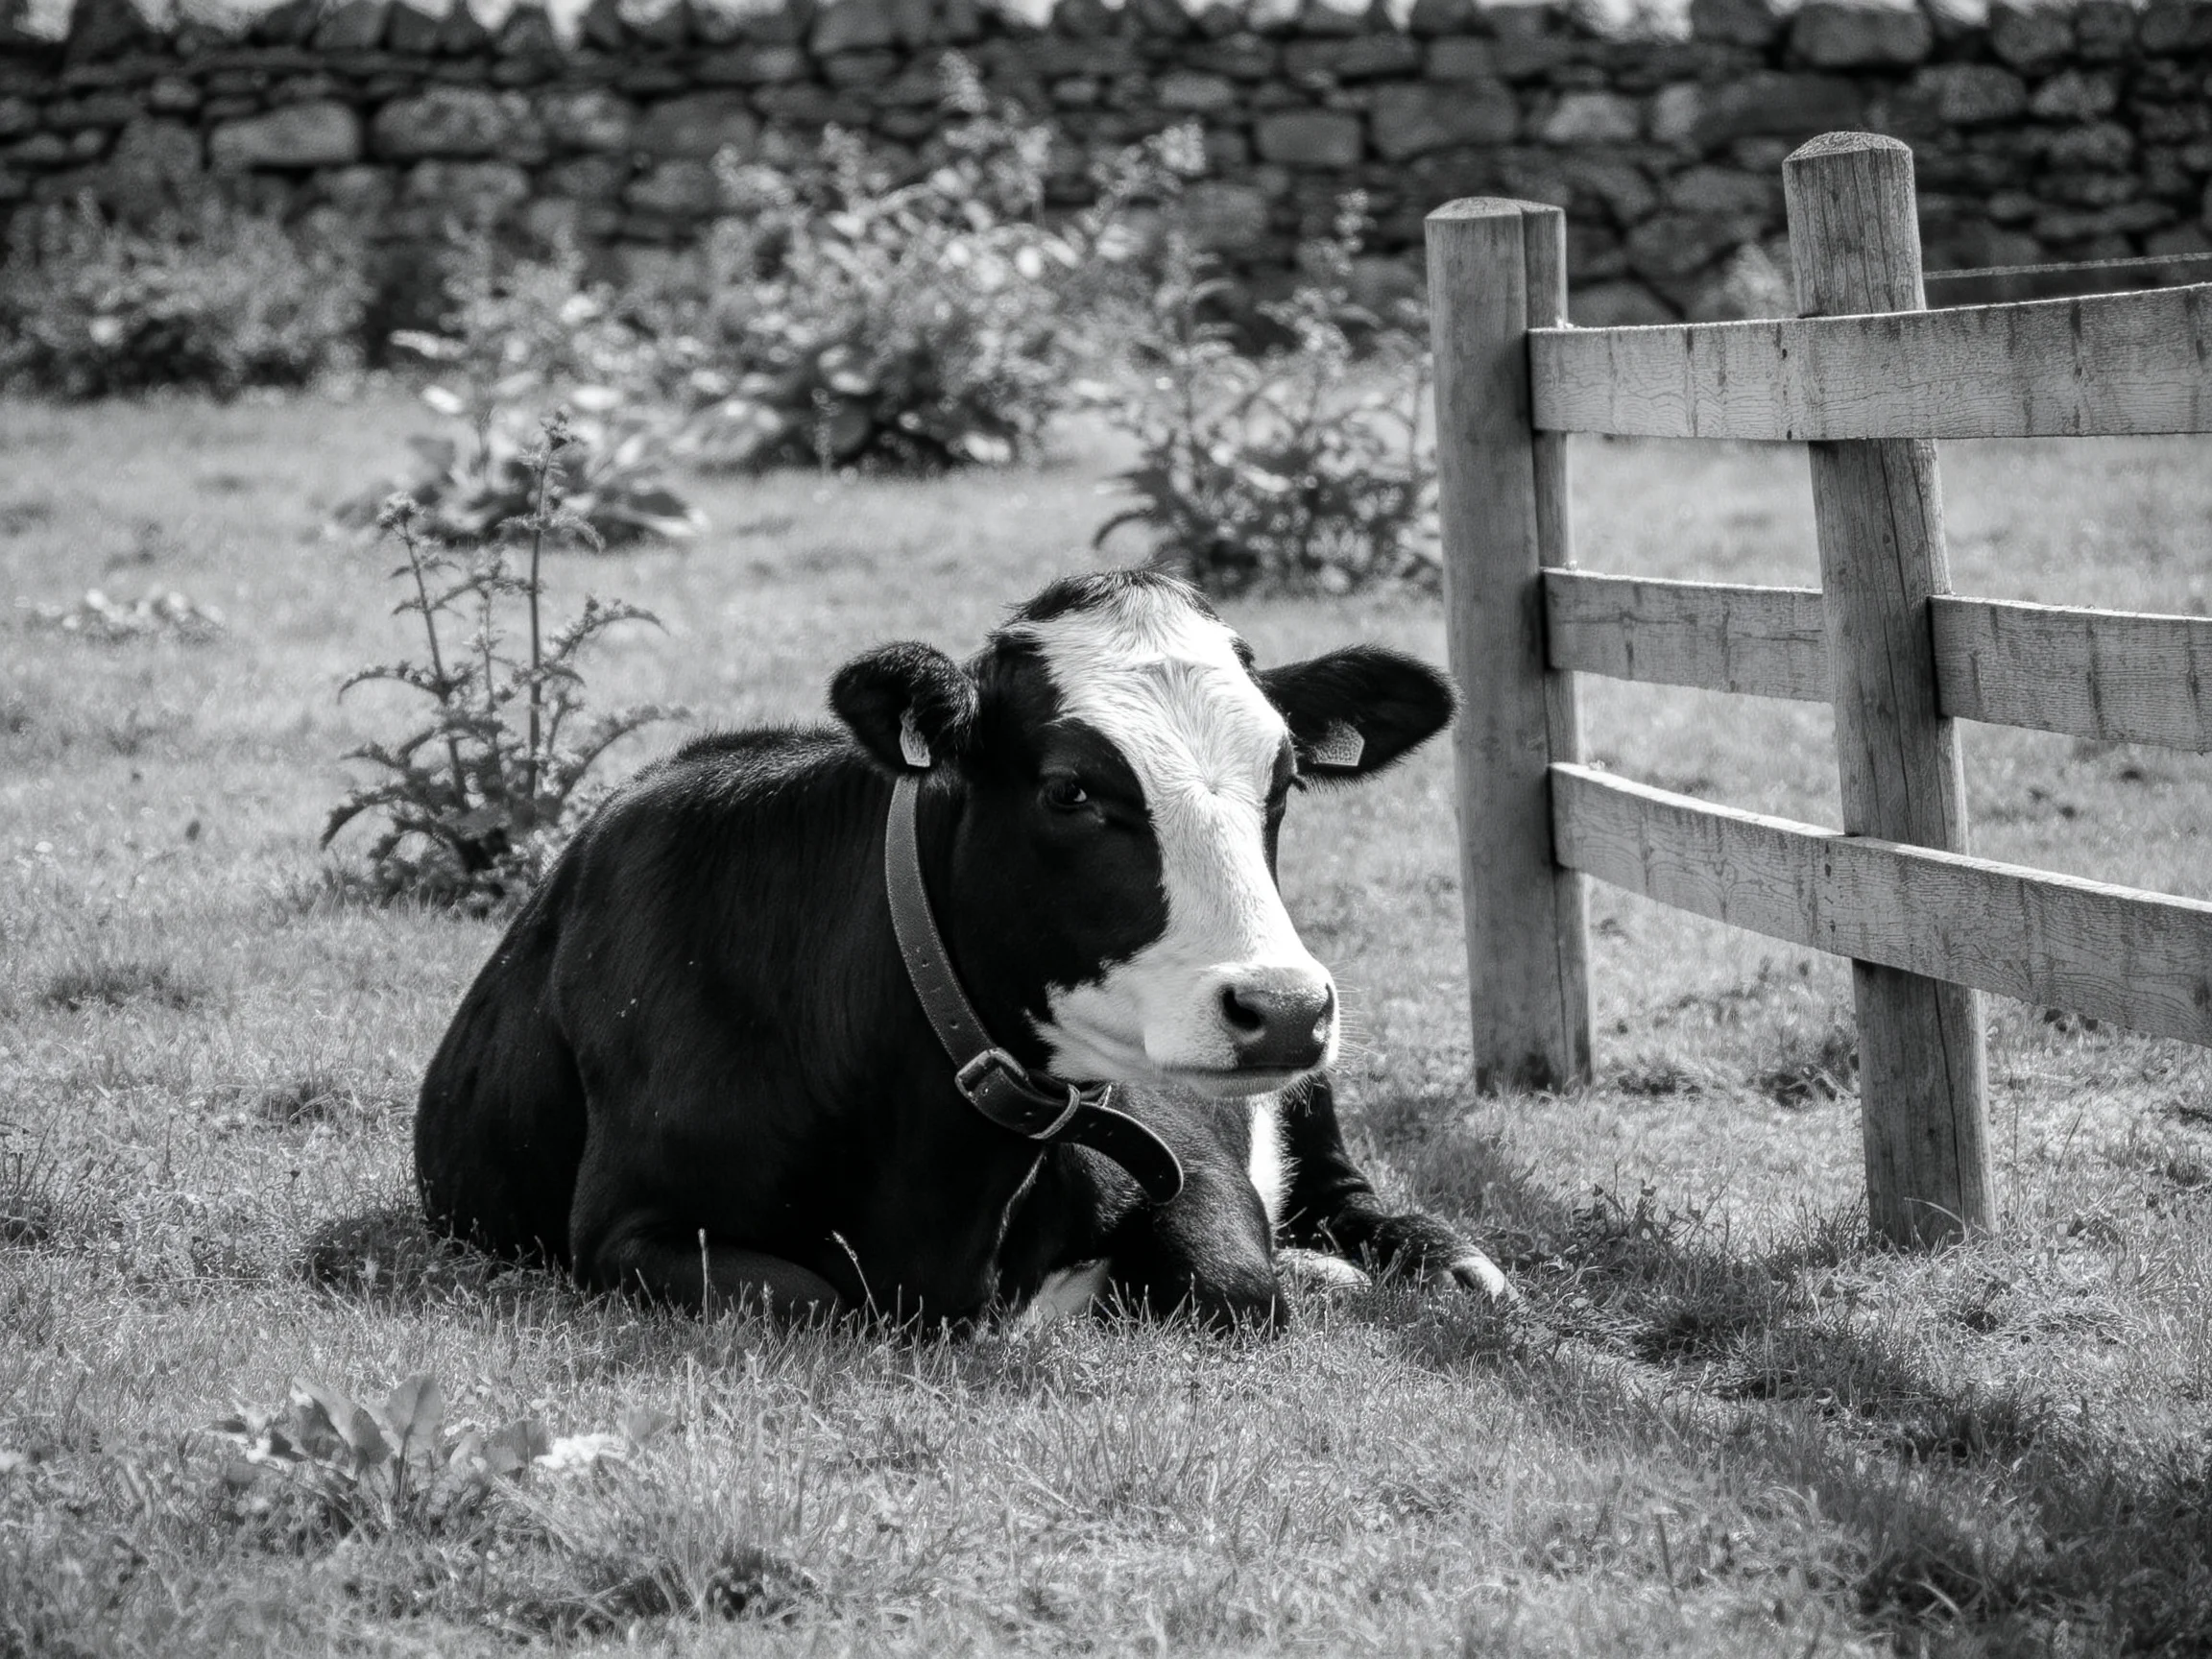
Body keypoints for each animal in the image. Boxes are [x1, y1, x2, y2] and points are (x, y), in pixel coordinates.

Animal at [415, 568, 1507, 1328]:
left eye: (1286, 782)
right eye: (1068, 788)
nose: (1280, 1007)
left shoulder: (1179, 1145)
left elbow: (1236, 1284)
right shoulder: (626, 1229)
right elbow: (812, 1297)